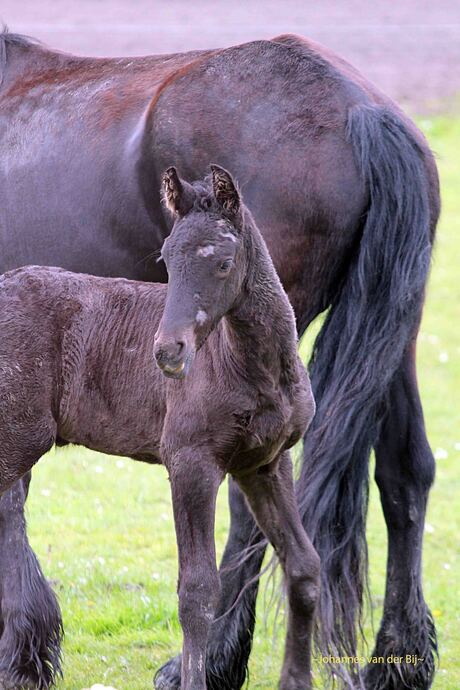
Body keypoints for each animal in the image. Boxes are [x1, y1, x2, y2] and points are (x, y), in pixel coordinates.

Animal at [0, 167, 320, 688]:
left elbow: (304, 566)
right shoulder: (191, 463)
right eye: (166, 259)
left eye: (224, 263)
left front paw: (296, 679)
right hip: (16, 440)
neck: (253, 368)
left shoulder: (266, 463)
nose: (169, 352)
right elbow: (197, 590)